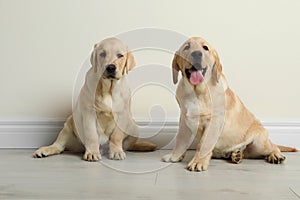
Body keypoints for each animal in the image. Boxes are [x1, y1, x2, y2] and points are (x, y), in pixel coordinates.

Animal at [162, 36, 296, 171]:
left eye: (205, 48)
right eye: (187, 47)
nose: (196, 54)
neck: (196, 92)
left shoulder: (214, 122)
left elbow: (203, 144)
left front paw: (198, 162)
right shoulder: (185, 119)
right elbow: (180, 140)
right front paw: (174, 157)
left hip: (260, 143)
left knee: (273, 147)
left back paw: (275, 155)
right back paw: (236, 155)